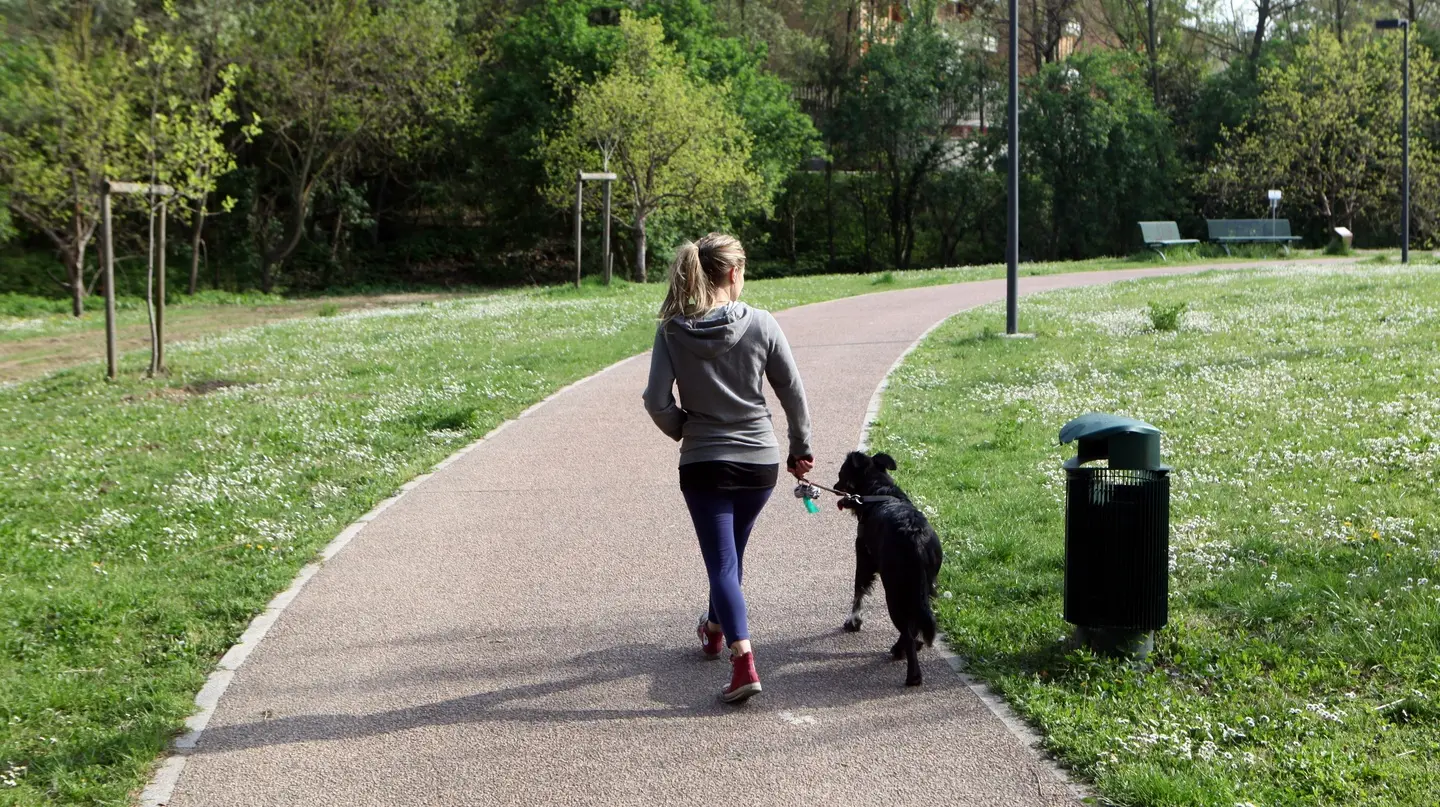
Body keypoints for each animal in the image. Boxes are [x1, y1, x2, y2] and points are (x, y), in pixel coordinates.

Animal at [835, 449, 944, 683]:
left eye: (841, 473)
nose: (836, 485)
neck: (879, 490)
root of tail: (916, 538)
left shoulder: (863, 558)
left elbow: (858, 591)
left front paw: (853, 622)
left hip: (895, 590)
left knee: (908, 631)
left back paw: (912, 674)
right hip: (924, 586)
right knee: (916, 621)